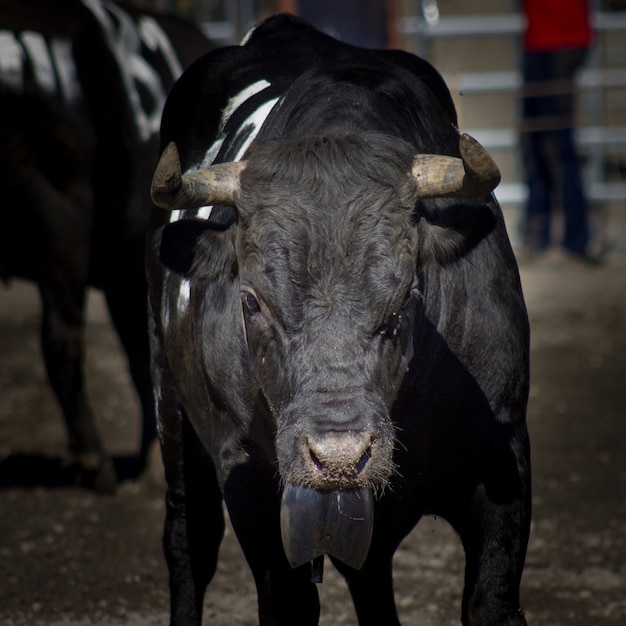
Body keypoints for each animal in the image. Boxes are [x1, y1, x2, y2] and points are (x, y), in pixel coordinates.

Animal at [147, 14, 532, 624]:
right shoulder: (249, 476)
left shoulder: (503, 452)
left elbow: (490, 601)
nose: (339, 457)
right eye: (251, 300)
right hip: (172, 410)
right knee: (189, 539)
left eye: (404, 300)